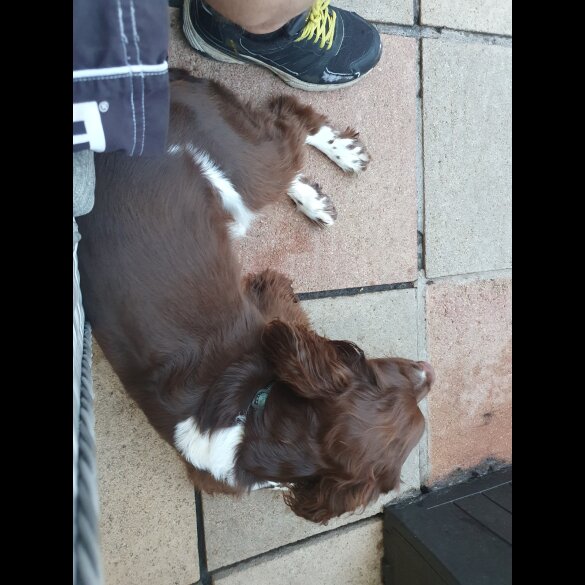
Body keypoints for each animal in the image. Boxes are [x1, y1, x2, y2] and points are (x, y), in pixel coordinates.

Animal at [76, 69, 434, 524]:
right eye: (375, 372)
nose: (427, 370)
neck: (250, 424)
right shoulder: (270, 305)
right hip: (245, 170)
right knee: (288, 121)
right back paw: (338, 163)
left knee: (285, 130)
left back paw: (324, 183)